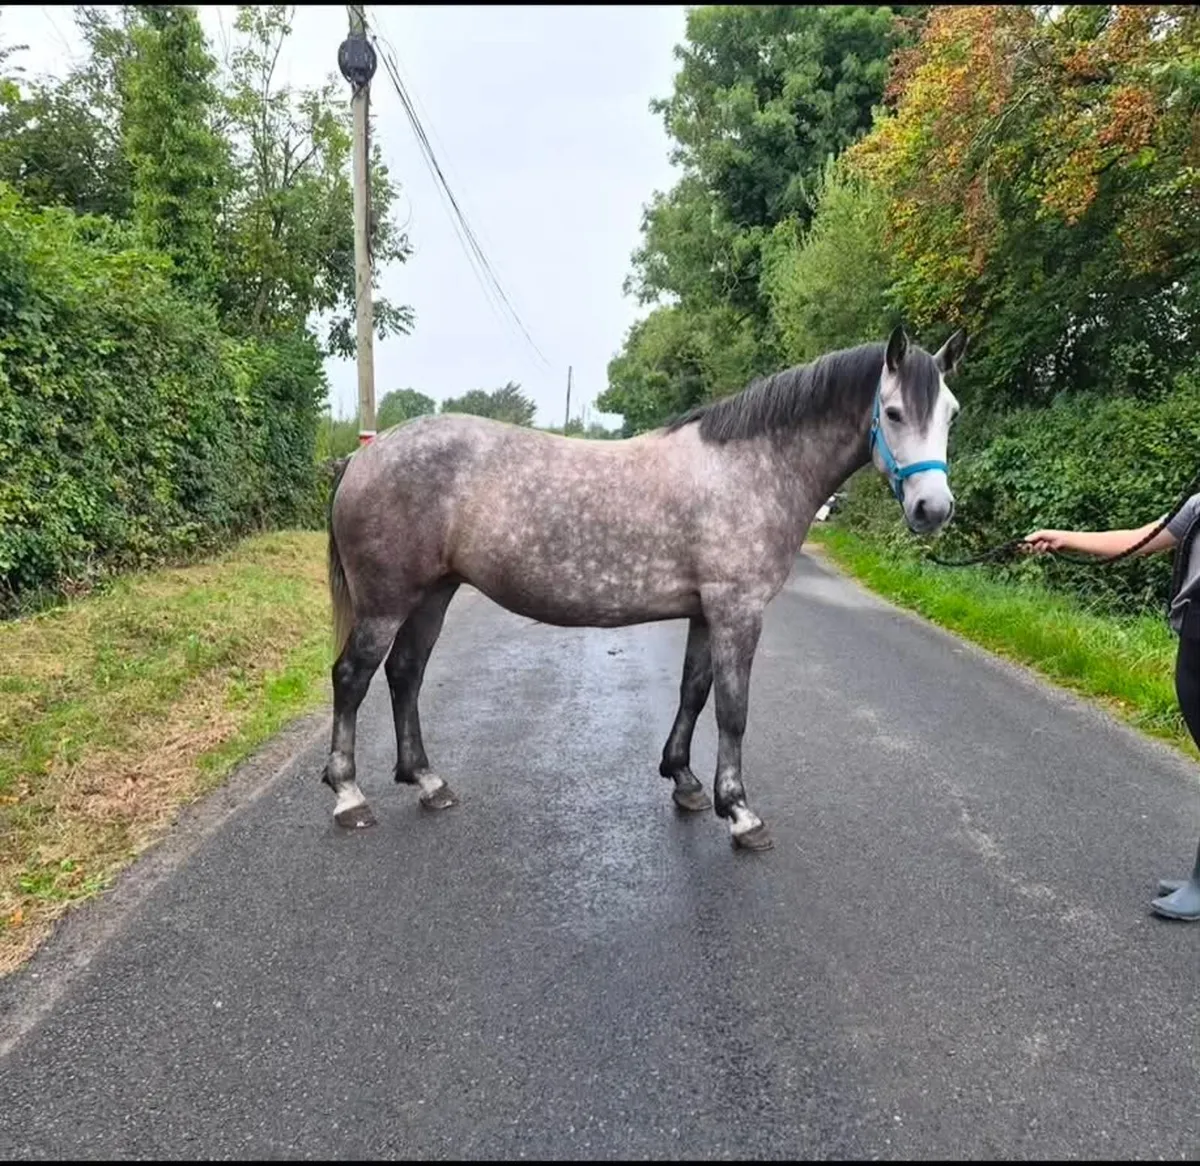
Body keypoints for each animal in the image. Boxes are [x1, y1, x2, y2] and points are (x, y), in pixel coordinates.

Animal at [322, 325, 968, 851]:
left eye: (952, 414)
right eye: (893, 413)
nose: (932, 509)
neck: (752, 469)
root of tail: (360, 459)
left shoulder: (707, 612)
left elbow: (694, 692)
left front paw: (684, 781)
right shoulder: (738, 611)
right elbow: (733, 709)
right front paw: (740, 813)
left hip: (433, 594)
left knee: (405, 674)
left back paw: (428, 781)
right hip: (386, 602)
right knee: (352, 677)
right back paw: (349, 796)